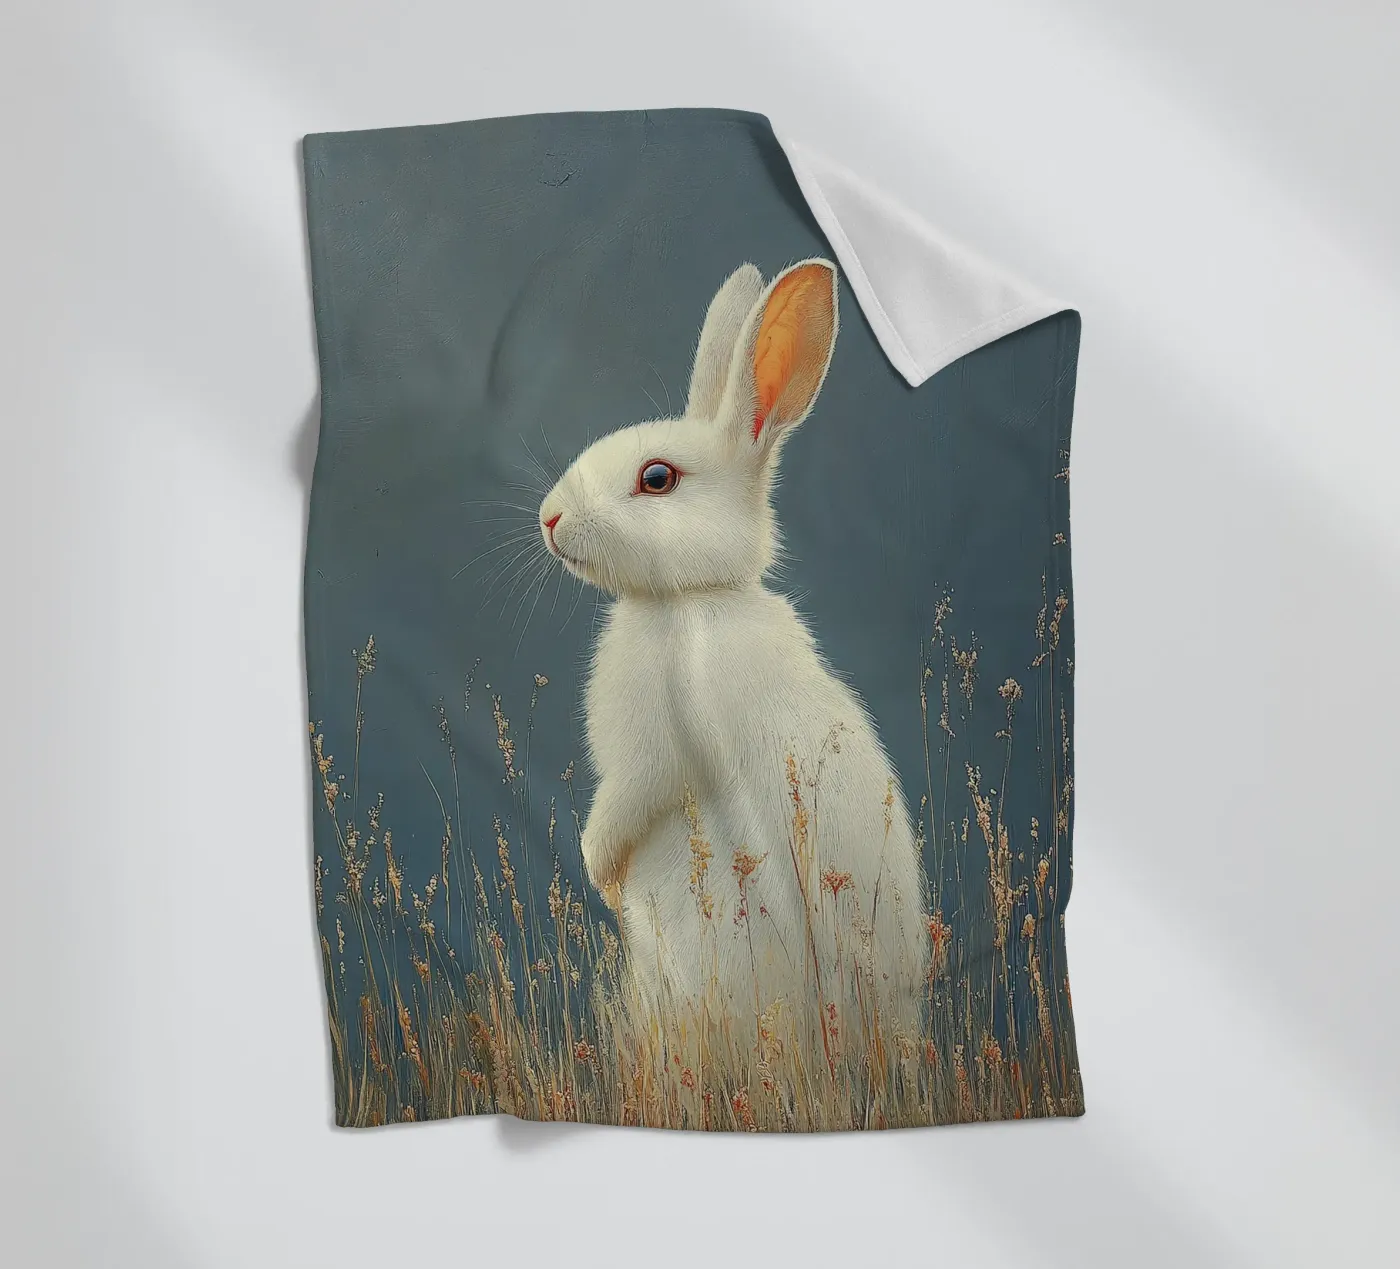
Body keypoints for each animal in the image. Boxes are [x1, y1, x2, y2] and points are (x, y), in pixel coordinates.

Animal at [538, 259, 930, 1045]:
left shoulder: (652, 751)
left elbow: (630, 799)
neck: (688, 599)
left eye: (657, 478)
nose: (549, 518)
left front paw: (597, 869)